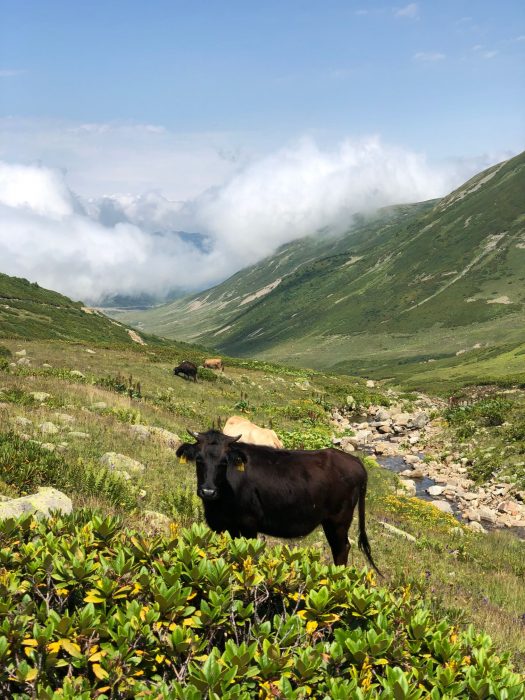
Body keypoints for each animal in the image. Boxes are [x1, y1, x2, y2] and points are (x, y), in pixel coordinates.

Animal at [176, 429, 380, 572]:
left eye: (224, 462)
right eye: (199, 460)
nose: (208, 491)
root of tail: (356, 462)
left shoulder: (248, 524)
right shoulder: (223, 525)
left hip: (338, 520)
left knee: (341, 548)